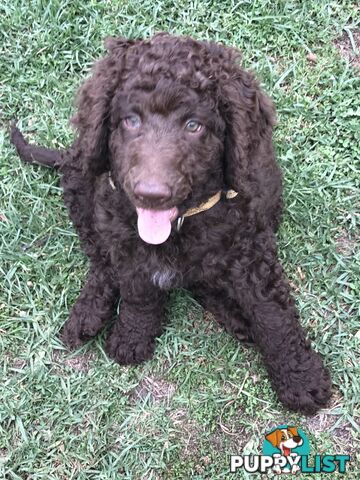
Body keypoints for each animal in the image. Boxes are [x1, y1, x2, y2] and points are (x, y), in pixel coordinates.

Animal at [10, 32, 332, 412]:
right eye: (130, 120)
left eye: (194, 126)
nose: (151, 195)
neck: (177, 227)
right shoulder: (128, 245)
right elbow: (137, 293)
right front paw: (132, 336)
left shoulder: (253, 251)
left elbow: (274, 316)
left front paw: (301, 378)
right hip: (84, 188)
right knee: (100, 259)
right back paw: (88, 313)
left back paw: (236, 316)